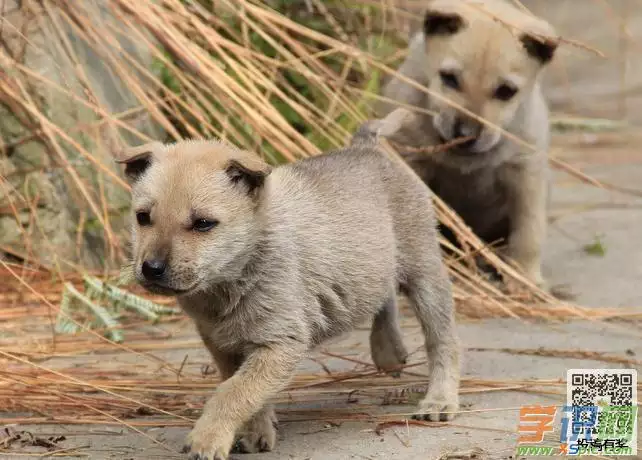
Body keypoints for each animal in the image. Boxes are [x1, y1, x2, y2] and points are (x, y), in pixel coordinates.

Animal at [116, 119, 460, 460]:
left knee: (442, 341)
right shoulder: (223, 345)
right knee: (382, 295)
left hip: (425, 271)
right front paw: (256, 433)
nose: (151, 269)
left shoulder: (280, 343)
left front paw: (208, 438)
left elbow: (234, 392)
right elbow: (245, 390)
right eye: (143, 217)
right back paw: (389, 351)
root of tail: (366, 146)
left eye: (203, 224)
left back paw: (440, 399)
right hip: (373, 265)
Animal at [380, 0, 556, 288]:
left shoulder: (525, 176)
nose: (465, 133)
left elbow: (528, 232)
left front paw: (525, 280)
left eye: (506, 91)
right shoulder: (411, 161)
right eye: (449, 78)